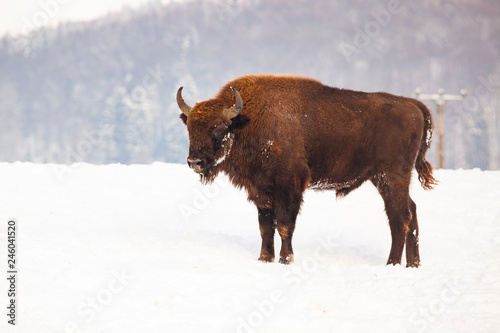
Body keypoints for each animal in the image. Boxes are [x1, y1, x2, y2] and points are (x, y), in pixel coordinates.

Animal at [178, 74, 436, 266]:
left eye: (219, 128)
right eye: (190, 127)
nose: (194, 162)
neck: (248, 122)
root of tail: (413, 105)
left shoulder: (289, 186)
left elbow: (284, 224)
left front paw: (286, 259)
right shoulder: (261, 190)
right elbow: (265, 227)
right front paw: (264, 259)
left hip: (390, 177)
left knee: (399, 217)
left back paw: (392, 263)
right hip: (387, 179)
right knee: (411, 212)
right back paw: (413, 264)